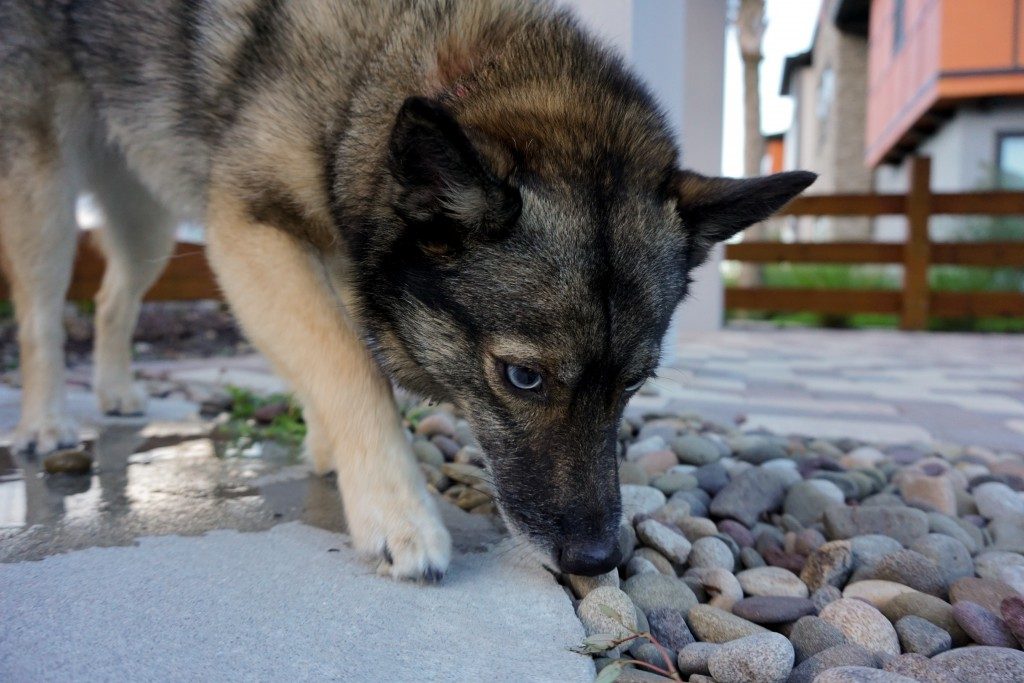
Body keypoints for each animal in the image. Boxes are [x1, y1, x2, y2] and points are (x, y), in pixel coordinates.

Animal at [2, 1, 815, 581]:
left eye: (635, 385)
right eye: (523, 378)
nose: (596, 560)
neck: (390, 55)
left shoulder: (336, 247)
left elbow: (331, 351)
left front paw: (329, 447)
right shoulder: (250, 232)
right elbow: (347, 362)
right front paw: (396, 513)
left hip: (147, 219)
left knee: (114, 299)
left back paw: (115, 391)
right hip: (48, 192)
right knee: (42, 311)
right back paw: (45, 423)